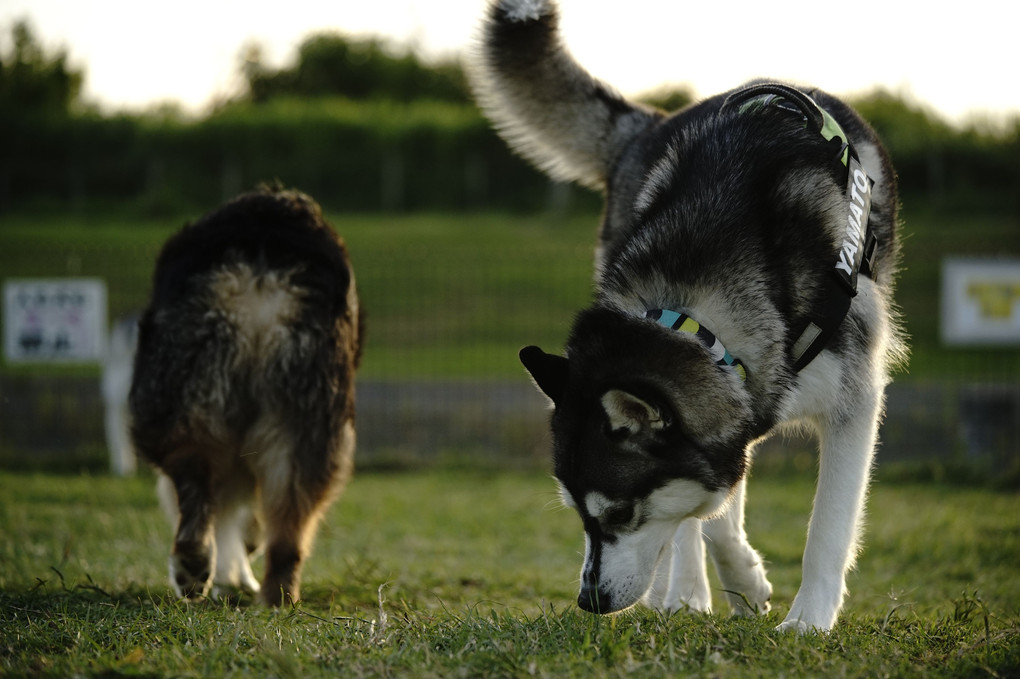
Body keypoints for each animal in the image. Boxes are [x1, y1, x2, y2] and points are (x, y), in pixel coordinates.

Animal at [130, 187, 363, 603]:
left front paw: (230, 572)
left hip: (180, 397)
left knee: (196, 481)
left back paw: (199, 569)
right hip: (302, 419)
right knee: (285, 522)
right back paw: (272, 593)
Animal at [467, 0, 905, 628]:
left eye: (618, 514)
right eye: (579, 514)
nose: (589, 602)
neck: (698, 313)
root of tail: (654, 120)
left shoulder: (850, 399)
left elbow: (825, 526)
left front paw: (807, 622)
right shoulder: (737, 401)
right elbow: (709, 511)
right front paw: (744, 582)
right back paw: (686, 594)